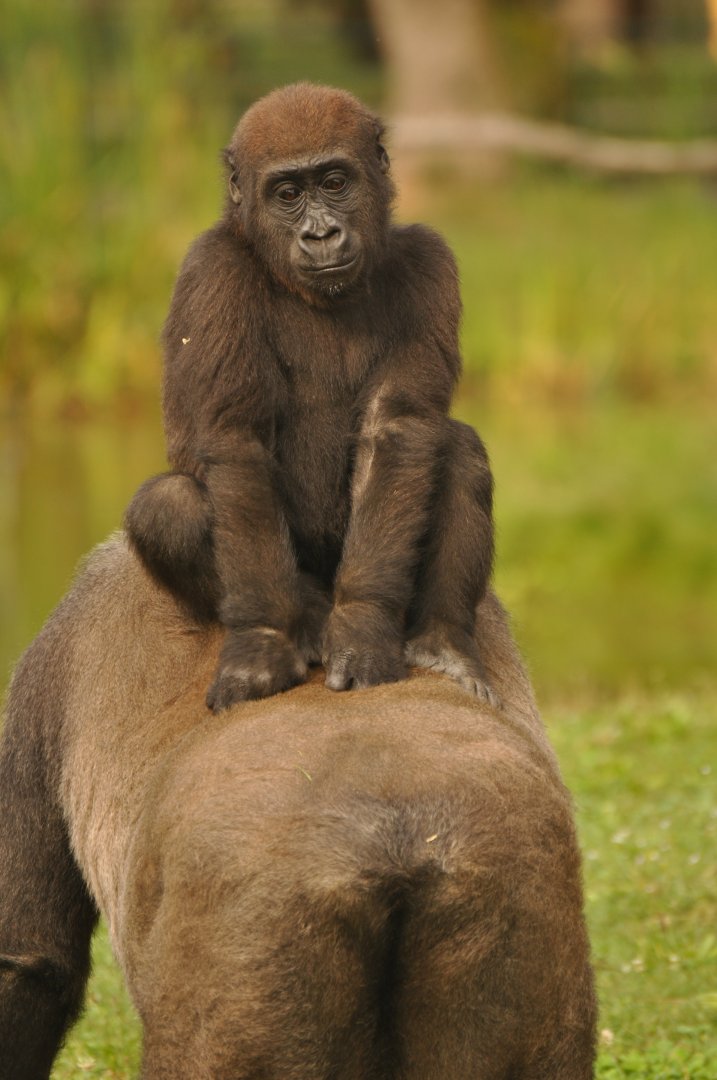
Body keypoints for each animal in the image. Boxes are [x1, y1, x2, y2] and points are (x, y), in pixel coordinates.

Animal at [124, 82, 496, 713]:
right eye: (288, 194)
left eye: (335, 182)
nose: (320, 235)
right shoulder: (212, 271)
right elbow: (238, 443)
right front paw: (264, 641)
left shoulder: (429, 261)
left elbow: (398, 426)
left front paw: (363, 624)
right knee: (168, 506)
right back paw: (306, 626)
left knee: (458, 450)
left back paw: (441, 640)